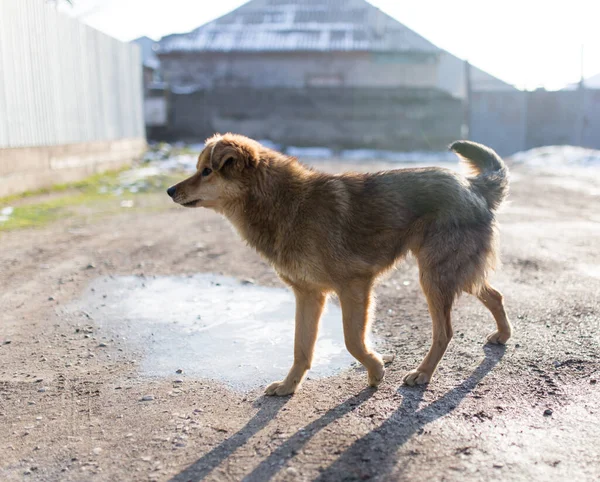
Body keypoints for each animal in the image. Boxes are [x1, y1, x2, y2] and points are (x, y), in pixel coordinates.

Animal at [168, 133, 510, 396]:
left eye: (207, 171)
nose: (170, 190)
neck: (284, 203)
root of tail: (474, 185)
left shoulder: (354, 286)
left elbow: (352, 341)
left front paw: (376, 369)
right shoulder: (308, 295)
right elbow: (301, 347)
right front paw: (289, 386)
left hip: (434, 276)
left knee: (445, 331)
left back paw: (423, 373)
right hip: (452, 272)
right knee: (494, 295)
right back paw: (503, 335)